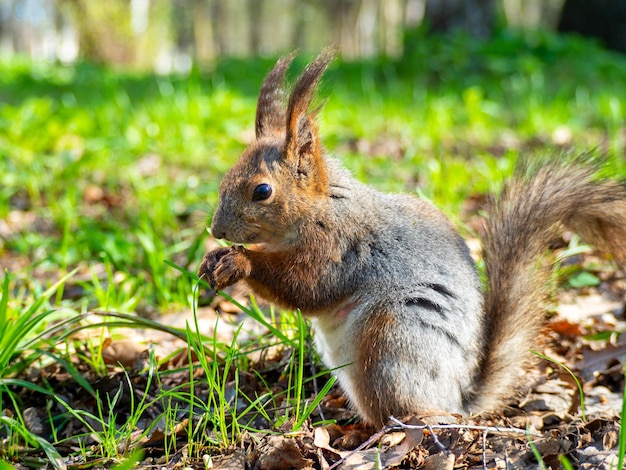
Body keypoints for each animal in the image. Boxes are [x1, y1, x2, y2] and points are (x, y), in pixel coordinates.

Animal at [197, 48, 624, 426]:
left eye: (262, 191)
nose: (217, 230)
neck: (323, 207)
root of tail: (458, 397)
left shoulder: (338, 247)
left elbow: (306, 286)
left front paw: (240, 261)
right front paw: (213, 258)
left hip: (393, 336)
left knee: (402, 411)